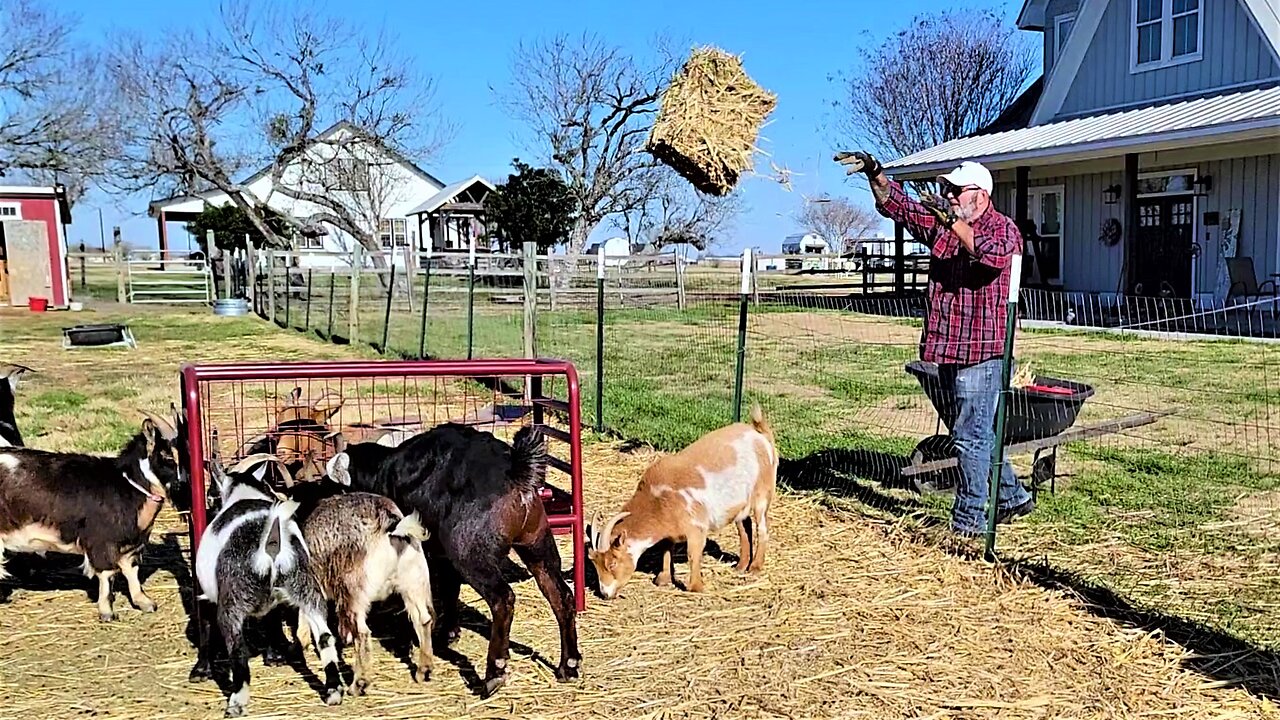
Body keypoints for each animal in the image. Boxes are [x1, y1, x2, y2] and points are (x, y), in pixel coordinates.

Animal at [0, 407, 186, 620]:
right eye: (167, 456)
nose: (182, 485)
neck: (127, 485)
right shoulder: (102, 541)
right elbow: (107, 574)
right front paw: (107, 612)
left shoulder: (129, 542)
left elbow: (131, 569)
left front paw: (144, 602)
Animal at [189, 453, 345, 712]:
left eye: (212, 492)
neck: (244, 492)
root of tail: (271, 542)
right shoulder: (277, 601)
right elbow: (272, 622)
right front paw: (274, 657)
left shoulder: (209, 596)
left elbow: (207, 628)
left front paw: (201, 670)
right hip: (307, 588)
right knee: (324, 636)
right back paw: (333, 691)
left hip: (232, 604)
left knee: (238, 649)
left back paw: (237, 701)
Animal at [325, 422, 581, 691]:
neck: (380, 469)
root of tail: (514, 470)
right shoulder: (442, 555)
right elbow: (450, 589)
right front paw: (449, 632)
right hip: (537, 544)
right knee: (560, 595)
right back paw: (568, 665)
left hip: (470, 554)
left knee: (503, 599)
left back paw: (495, 671)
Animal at [586, 399, 773, 597]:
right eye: (595, 563)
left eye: (612, 563)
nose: (605, 593)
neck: (658, 500)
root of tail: (759, 434)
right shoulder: (669, 531)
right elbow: (666, 549)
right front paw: (663, 578)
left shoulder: (697, 527)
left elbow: (693, 554)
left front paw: (696, 587)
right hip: (740, 502)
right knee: (744, 526)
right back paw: (741, 566)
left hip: (762, 493)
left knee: (762, 527)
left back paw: (755, 567)